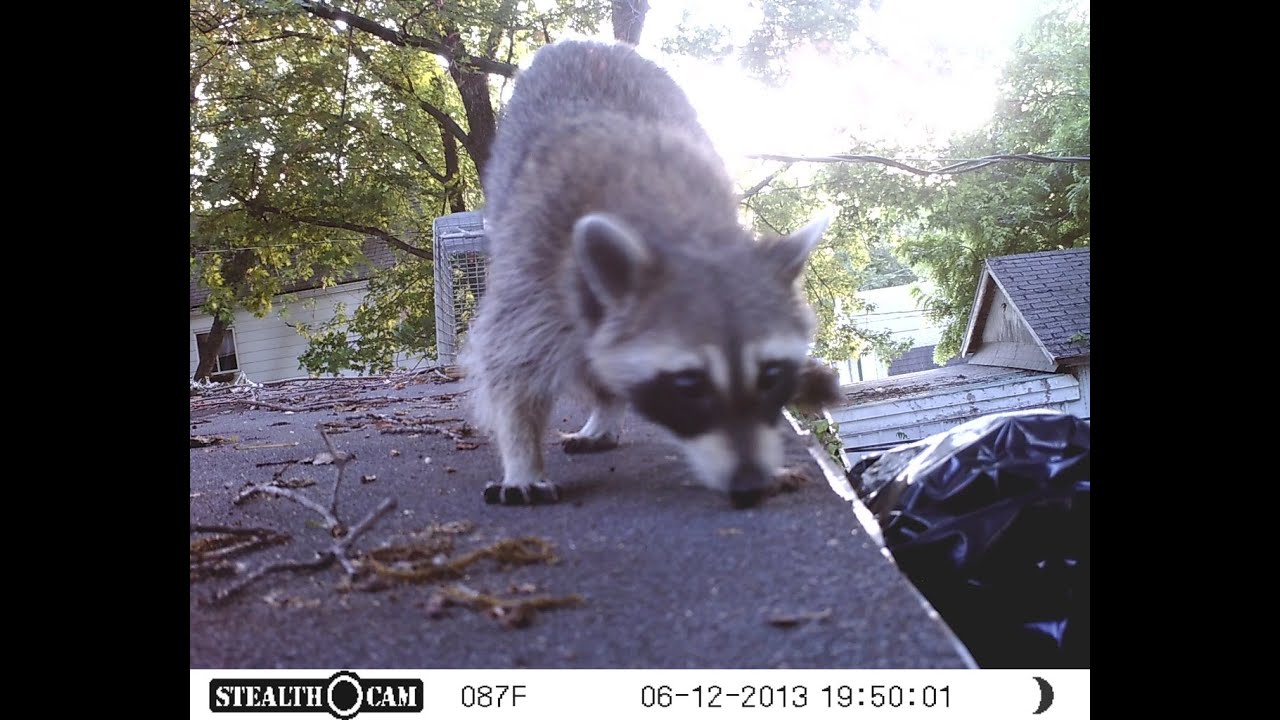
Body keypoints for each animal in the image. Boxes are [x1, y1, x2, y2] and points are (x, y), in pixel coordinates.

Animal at [460, 40, 831, 509]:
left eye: (770, 375)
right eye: (689, 384)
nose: (749, 485)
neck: (681, 230)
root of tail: (592, 43)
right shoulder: (533, 262)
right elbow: (511, 368)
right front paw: (522, 458)